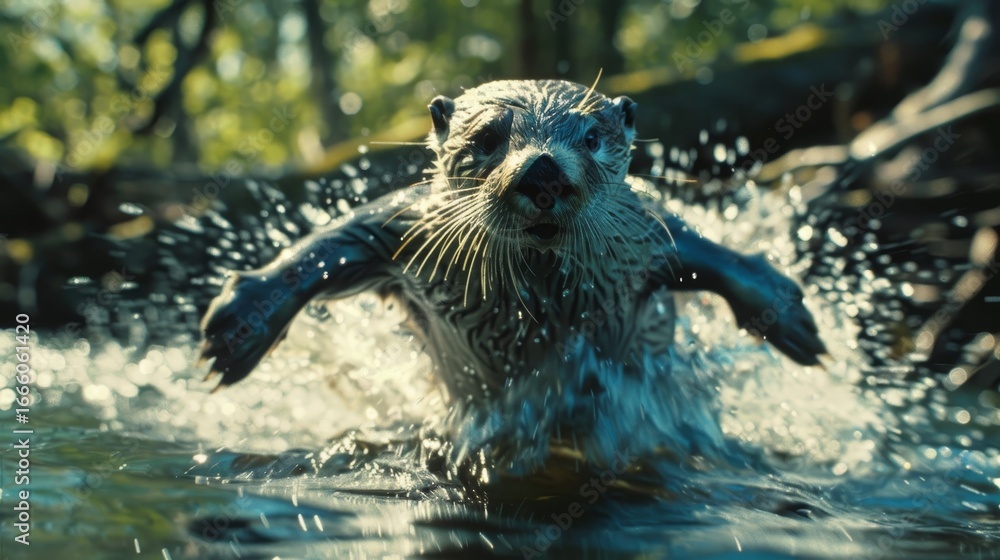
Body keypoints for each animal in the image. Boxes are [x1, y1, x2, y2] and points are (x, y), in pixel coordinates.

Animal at [198, 80, 825, 470]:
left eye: (591, 138)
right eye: (488, 139)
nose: (543, 169)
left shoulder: (641, 235)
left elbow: (705, 252)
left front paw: (789, 315)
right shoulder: (410, 229)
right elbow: (332, 244)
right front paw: (239, 324)